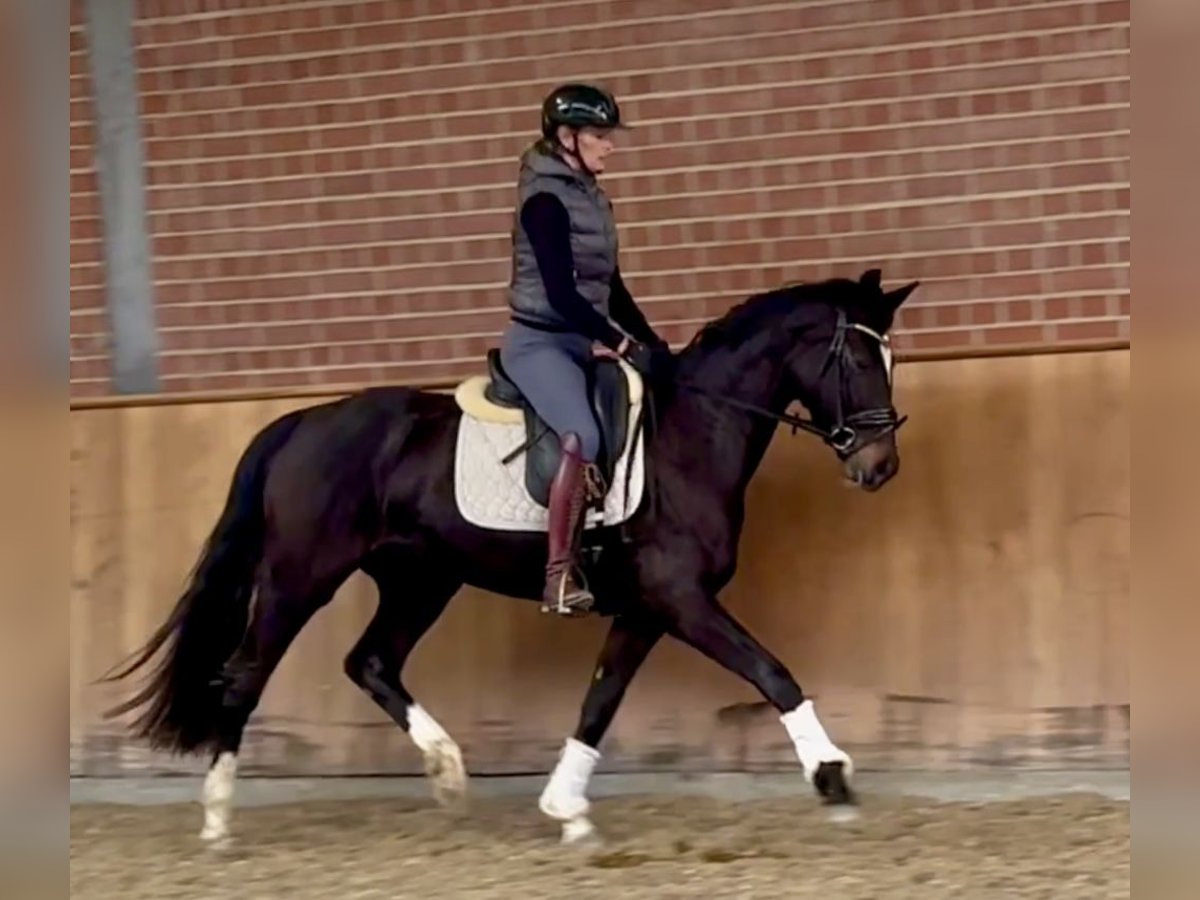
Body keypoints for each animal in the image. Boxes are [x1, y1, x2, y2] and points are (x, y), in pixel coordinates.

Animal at [100, 266, 916, 844]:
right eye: (857, 360)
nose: (880, 468)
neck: (691, 436)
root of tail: (303, 422)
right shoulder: (681, 598)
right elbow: (771, 672)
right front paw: (832, 776)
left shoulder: (649, 608)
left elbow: (599, 700)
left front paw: (566, 808)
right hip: (302, 577)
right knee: (245, 673)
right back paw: (217, 817)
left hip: (421, 580)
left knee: (371, 662)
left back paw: (448, 772)